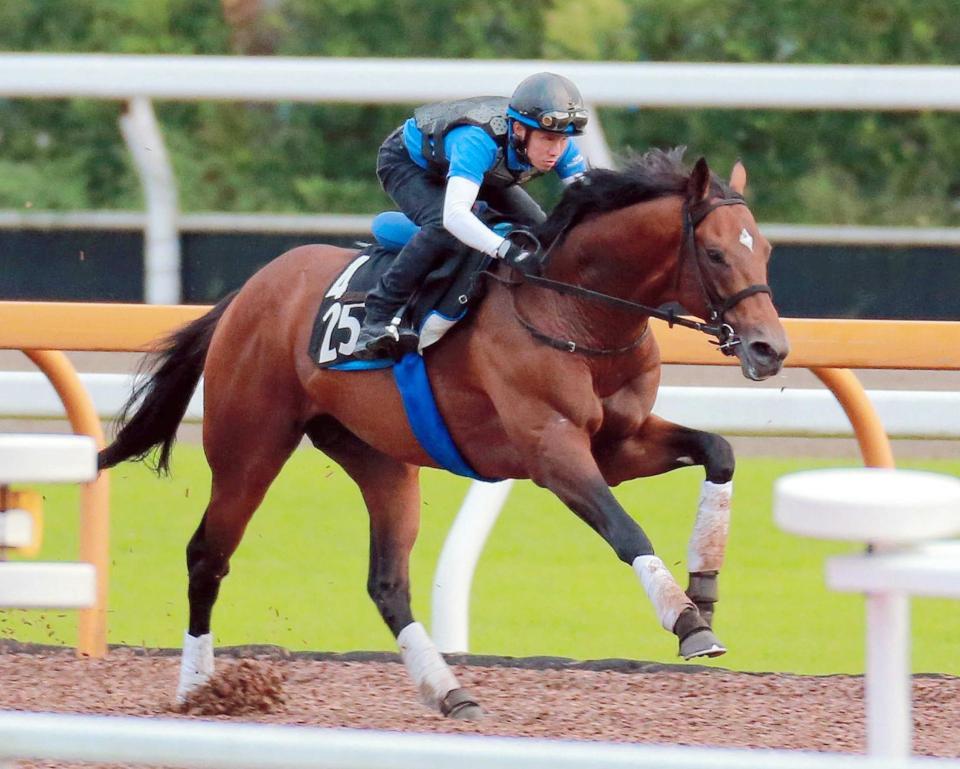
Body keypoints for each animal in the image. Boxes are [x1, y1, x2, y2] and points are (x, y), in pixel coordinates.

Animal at [97, 148, 788, 720]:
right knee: (207, 557)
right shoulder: (552, 451)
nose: (770, 349)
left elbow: (720, 452)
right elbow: (626, 531)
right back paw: (197, 688)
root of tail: (247, 294)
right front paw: (687, 621)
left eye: (765, 251)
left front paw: (705, 585)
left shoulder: (619, 443)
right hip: (249, 446)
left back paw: (449, 691)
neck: (574, 309)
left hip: (378, 457)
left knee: (387, 584)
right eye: (717, 253)